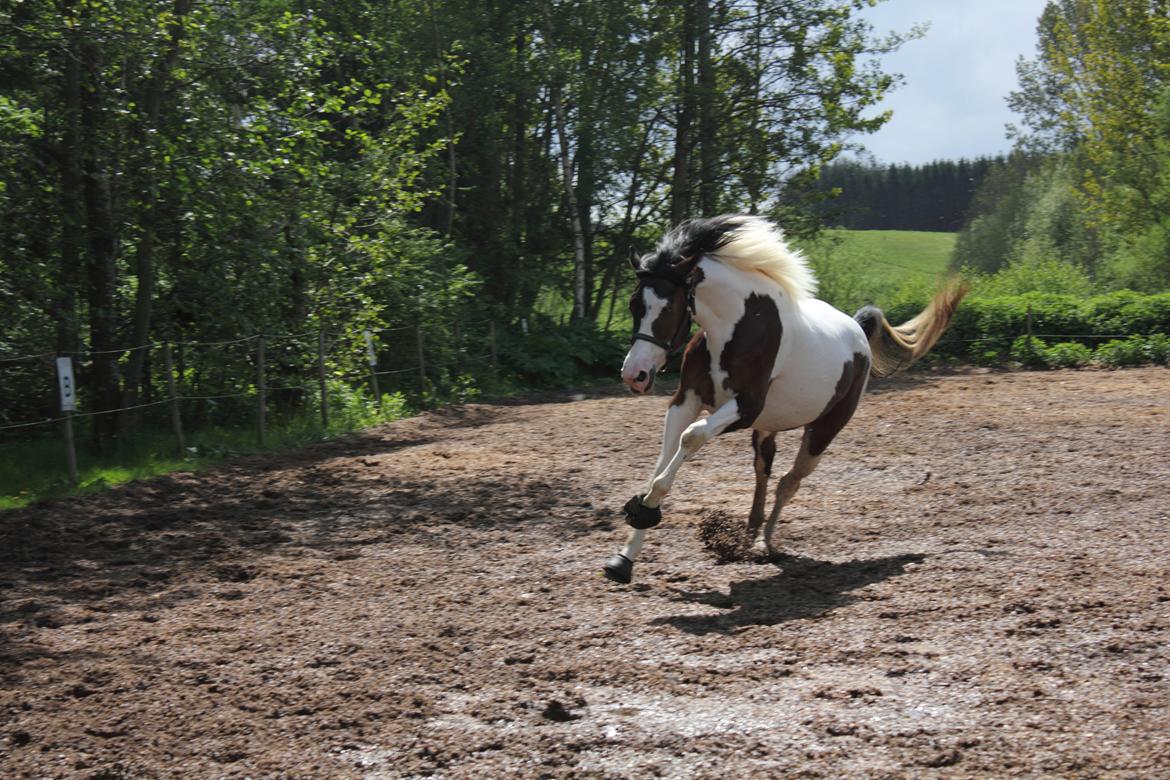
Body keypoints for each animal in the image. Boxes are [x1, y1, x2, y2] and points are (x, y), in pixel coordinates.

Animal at [599, 216, 964, 582]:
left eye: (670, 306)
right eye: (634, 305)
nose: (635, 374)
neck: (739, 327)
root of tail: (857, 330)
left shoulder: (746, 408)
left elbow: (691, 438)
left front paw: (644, 510)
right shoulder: (685, 400)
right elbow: (662, 463)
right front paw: (624, 558)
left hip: (822, 433)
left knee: (789, 482)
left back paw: (765, 543)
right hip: (767, 428)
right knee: (764, 472)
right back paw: (749, 536)